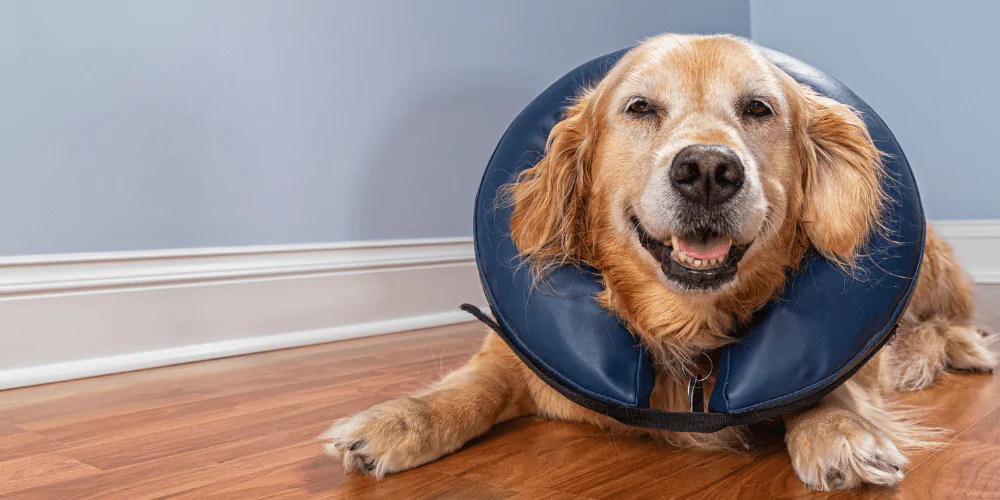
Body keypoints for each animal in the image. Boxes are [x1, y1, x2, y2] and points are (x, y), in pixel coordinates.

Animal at [320, 35, 992, 492]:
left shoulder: (841, 363)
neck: (683, 324)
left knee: (947, 325)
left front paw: (842, 434)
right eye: (640, 107)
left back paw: (960, 350)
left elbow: (831, 387)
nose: (708, 171)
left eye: (759, 109)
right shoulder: (512, 355)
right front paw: (395, 421)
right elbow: (470, 388)